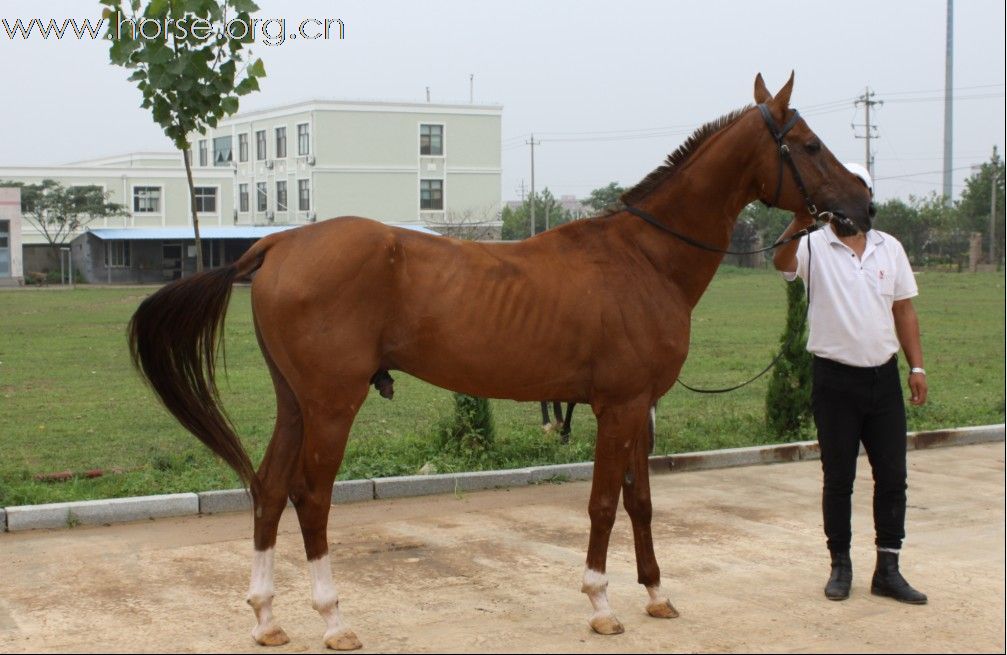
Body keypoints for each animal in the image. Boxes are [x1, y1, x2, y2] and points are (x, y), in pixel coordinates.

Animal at [127, 74, 874, 644]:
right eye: (809, 144)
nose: (862, 205)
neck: (643, 257)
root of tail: (279, 243)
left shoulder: (638, 408)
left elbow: (640, 502)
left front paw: (657, 593)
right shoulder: (618, 406)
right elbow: (604, 503)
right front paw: (601, 603)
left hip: (294, 401)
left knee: (267, 488)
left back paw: (266, 618)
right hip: (333, 403)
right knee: (310, 497)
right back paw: (333, 618)